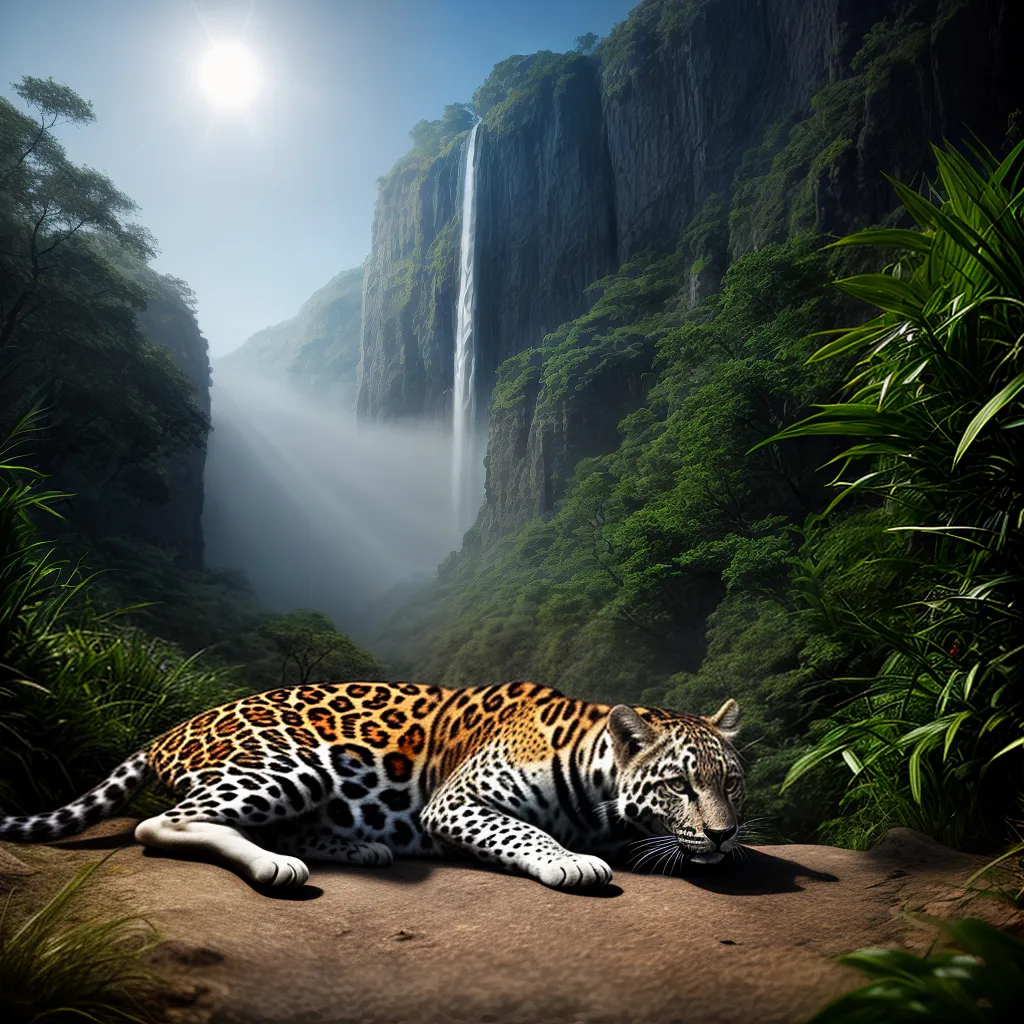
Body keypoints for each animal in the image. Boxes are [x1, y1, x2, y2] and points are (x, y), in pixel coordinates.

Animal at [0, 680, 744, 889]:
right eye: (680, 784)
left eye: (732, 785)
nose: (724, 834)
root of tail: (170, 729)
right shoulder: (458, 801)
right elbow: (523, 830)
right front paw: (571, 861)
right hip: (292, 763)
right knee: (162, 823)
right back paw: (275, 866)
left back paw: (360, 847)